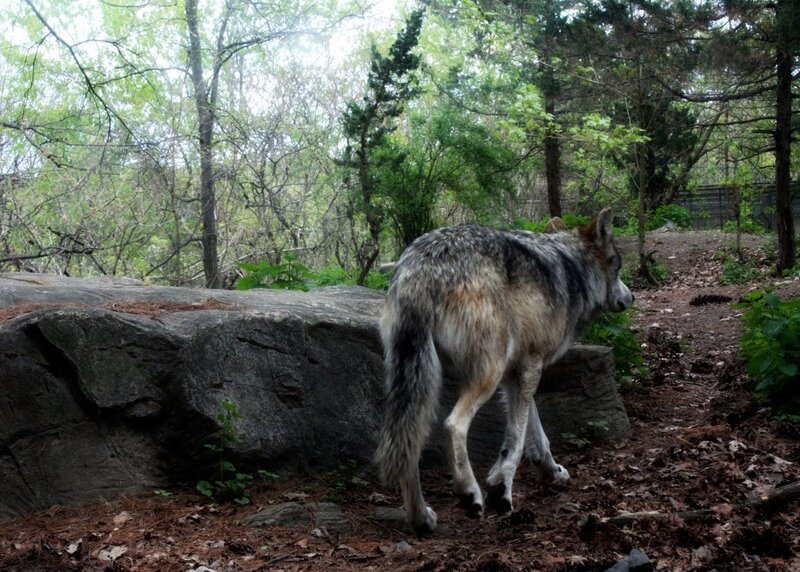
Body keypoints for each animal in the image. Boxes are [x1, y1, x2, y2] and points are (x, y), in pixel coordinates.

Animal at [376, 208, 633, 533]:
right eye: (618, 266)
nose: (630, 298)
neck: (571, 269)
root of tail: (421, 264)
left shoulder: (519, 372)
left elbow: (537, 435)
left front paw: (551, 470)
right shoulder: (529, 367)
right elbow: (516, 441)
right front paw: (501, 491)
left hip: (420, 379)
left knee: (408, 444)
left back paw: (421, 518)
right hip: (485, 375)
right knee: (453, 425)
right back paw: (469, 493)